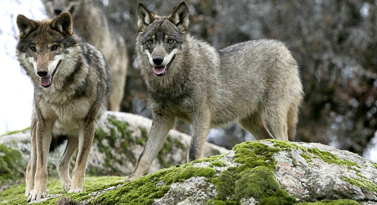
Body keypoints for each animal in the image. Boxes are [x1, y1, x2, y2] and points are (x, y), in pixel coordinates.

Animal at [16, 12, 110, 201]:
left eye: (54, 47)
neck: (59, 93)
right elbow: (41, 167)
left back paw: (67, 185)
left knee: (61, 163)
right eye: (33, 48)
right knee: (31, 165)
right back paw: (30, 191)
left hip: (74, 135)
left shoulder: (88, 124)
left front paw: (76, 189)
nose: (42, 72)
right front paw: (38, 193)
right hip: (37, 131)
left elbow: (80, 163)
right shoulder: (45, 124)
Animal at [129, 1, 302, 179]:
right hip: (248, 121)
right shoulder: (162, 119)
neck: (171, 85)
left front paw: (190, 171)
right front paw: (131, 179)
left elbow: (193, 152)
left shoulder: (201, 114)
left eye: (170, 41)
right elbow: (144, 156)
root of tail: (285, 49)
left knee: (284, 140)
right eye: (150, 41)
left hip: (274, 113)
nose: (157, 60)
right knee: (269, 139)